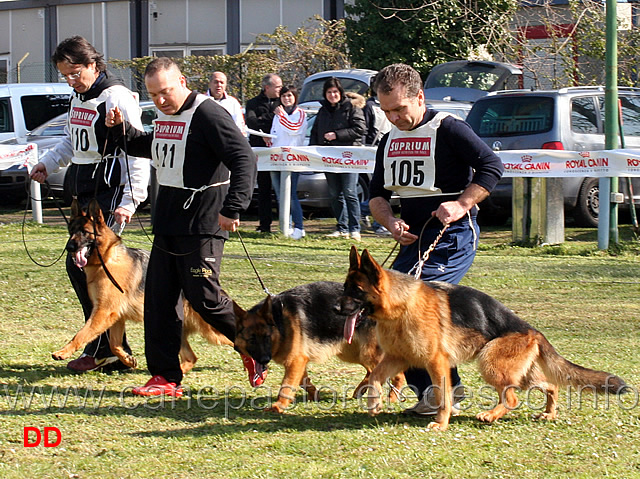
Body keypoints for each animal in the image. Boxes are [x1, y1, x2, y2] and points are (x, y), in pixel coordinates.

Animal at [53, 199, 232, 372]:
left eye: (84, 232)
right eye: (71, 231)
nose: (69, 247)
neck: (107, 259)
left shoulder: (103, 312)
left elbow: (82, 334)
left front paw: (63, 352)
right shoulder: (114, 316)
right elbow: (114, 344)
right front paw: (127, 360)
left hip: (210, 330)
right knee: (191, 358)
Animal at [235, 284, 404, 414]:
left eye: (266, 337)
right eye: (251, 340)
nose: (265, 360)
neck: (279, 321)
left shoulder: (295, 361)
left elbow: (286, 385)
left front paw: (278, 406)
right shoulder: (299, 362)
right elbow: (303, 381)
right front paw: (315, 395)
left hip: (368, 354)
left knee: (397, 375)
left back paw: (392, 398)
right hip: (353, 353)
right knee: (372, 372)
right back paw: (360, 391)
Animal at [342, 249, 628, 434]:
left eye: (356, 291)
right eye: (345, 289)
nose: (335, 308)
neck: (401, 305)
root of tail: (532, 330)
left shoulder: (436, 363)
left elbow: (444, 396)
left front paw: (441, 423)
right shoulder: (397, 357)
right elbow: (375, 377)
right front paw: (374, 403)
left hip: (490, 363)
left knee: (512, 398)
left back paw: (491, 415)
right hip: (519, 372)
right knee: (550, 386)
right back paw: (548, 413)